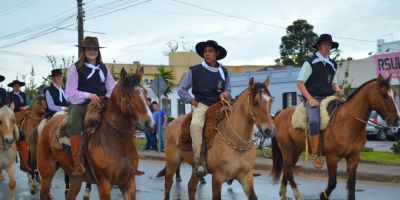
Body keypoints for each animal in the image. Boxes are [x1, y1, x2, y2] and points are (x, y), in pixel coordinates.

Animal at [37, 69, 154, 200]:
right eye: (128, 94)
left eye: (145, 93)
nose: (149, 122)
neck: (118, 142)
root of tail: (49, 122)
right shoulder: (104, 185)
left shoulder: (129, 184)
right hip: (47, 172)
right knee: (44, 193)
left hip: (75, 177)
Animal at [272, 75, 400, 200]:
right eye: (384, 95)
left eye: (394, 94)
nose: (396, 120)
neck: (348, 122)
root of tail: (280, 113)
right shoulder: (332, 158)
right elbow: (333, 183)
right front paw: (323, 196)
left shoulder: (354, 157)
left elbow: (352, 185)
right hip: (286, 148)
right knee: (289, 170)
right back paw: (297, 195)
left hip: (296, 149)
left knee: (287, 169)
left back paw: (283, 194)